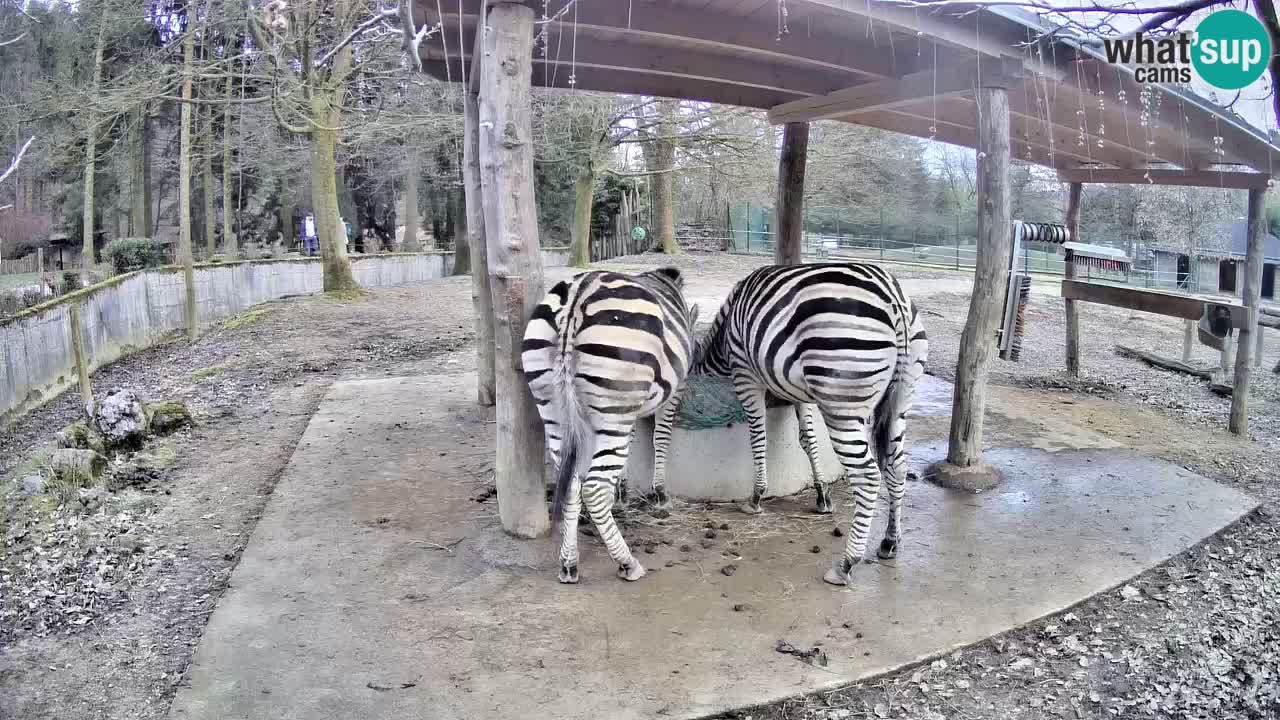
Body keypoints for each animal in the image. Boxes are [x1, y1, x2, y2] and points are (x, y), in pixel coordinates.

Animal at [519, 266, 701, 579]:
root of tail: (576, 298)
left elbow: (627, 449)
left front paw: (622, 492)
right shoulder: (673, 391)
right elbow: (660, 438)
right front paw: (660, 493)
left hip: (554, 407)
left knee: (573, 483)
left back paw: (569, 563)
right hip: (613, 403)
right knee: (592, 488)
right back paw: (627, 563)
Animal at [691, 260, 931, 586]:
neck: (725, 335)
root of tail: (894, 299)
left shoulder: (746, 375)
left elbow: (758, 435)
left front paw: (756, 497)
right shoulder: (798, 389)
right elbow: (808, 440)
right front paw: (822, 495)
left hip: (841, 401)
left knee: (868, 476)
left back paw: (846, 564)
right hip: (901, 398)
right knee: (897, 466)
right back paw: (889, 541)